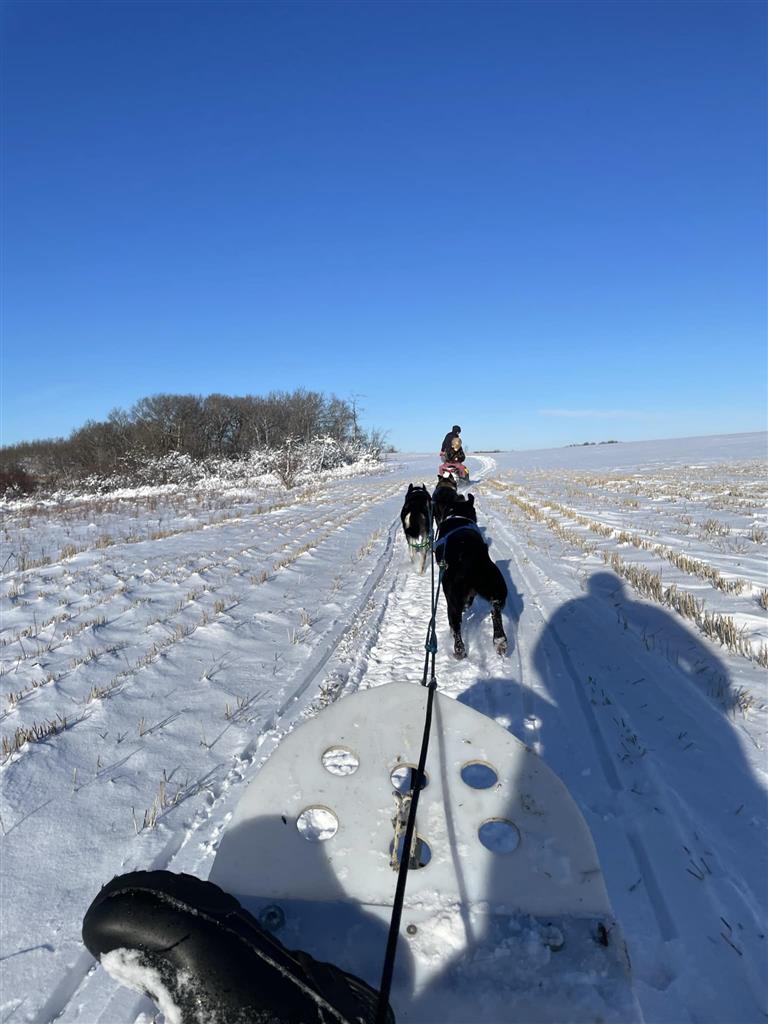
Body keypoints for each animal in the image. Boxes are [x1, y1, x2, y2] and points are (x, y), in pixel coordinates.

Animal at [436, 499, 507, 659]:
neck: (458, 512)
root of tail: (470, 557)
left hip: (452, 598)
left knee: (455, 624)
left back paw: (459, 650)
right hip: (496, 585)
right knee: (495, 609)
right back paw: (500, 641)